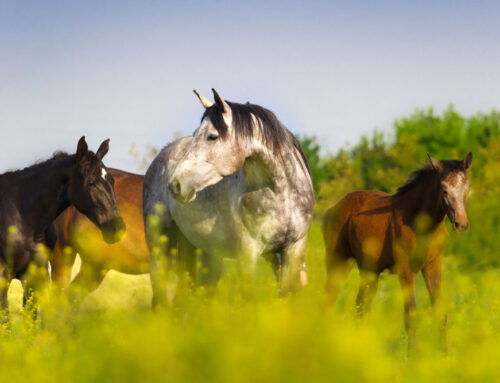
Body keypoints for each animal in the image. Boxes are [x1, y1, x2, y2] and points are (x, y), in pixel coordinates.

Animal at [143, 89, 312, 306]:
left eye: (212, 136)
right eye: (196, 134)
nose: (175, 185)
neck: (282, 196)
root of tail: (162, 153)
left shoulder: (294, 250)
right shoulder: (248, 255)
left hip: (203, 251)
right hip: (160, 246)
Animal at [324, 153, 472, 348]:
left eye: (467, 187)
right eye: (444, 190)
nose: (461, 224)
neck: (420, 222)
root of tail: (333, 209)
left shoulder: (432, 265)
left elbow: (440, 312)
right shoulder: (406, 271)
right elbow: (411, 316)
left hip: (369, 270)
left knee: (361, 308)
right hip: (338, 261)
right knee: (328, 300)